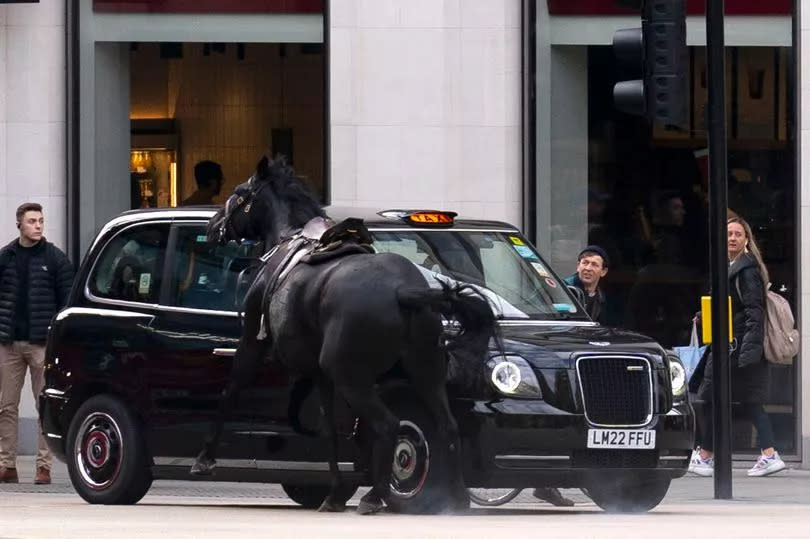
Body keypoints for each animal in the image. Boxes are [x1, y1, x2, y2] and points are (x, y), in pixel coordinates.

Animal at [191, 156, 492, 516]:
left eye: (238, 193)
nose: (212, 225)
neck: (286, 239)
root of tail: (403, 292)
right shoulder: (321, 375)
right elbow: (332, 432)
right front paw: (334, 493)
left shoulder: (253, 342)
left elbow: (230, 391)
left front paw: (204, 459)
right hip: (425, 372)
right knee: (447, 426)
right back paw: (456, 497)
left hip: (352, 376)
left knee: (389, 425)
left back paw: (375, 495)